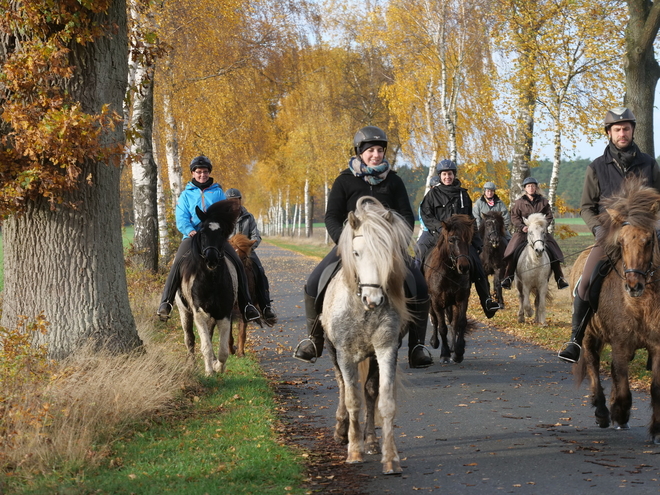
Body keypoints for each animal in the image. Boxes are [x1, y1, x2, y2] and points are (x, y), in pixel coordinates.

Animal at [426, 214, 476, 364]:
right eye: (451, 240)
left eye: (468, 239)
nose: (464, 267)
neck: (449, 274)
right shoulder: (436, 302)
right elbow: (442, 327)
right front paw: (445, 354)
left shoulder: (462, 299)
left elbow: (460, 323)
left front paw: (458, 352)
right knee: (435, 320)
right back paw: (435, 342)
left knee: (453, 323)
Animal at [568, 179, 660, 446]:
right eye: (622, 242)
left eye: (649, 240)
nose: (633, 285)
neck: (640, 305)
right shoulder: (620, 344)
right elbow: (623, 384)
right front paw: (620, 412)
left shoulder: (657, 346)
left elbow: (655, 388)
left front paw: (656, 430)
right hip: (589, 336)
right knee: (593, 365)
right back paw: (602, 411)